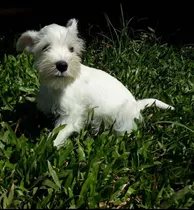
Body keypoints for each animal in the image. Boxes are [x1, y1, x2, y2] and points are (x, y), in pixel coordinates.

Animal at [16, 18, 174, 148]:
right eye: (45, 47)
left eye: (71, 49)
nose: (62, 65)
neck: (59, 86)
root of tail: (137, 105)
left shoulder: (71, 115)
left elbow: (58, 133)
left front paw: (45, 148)